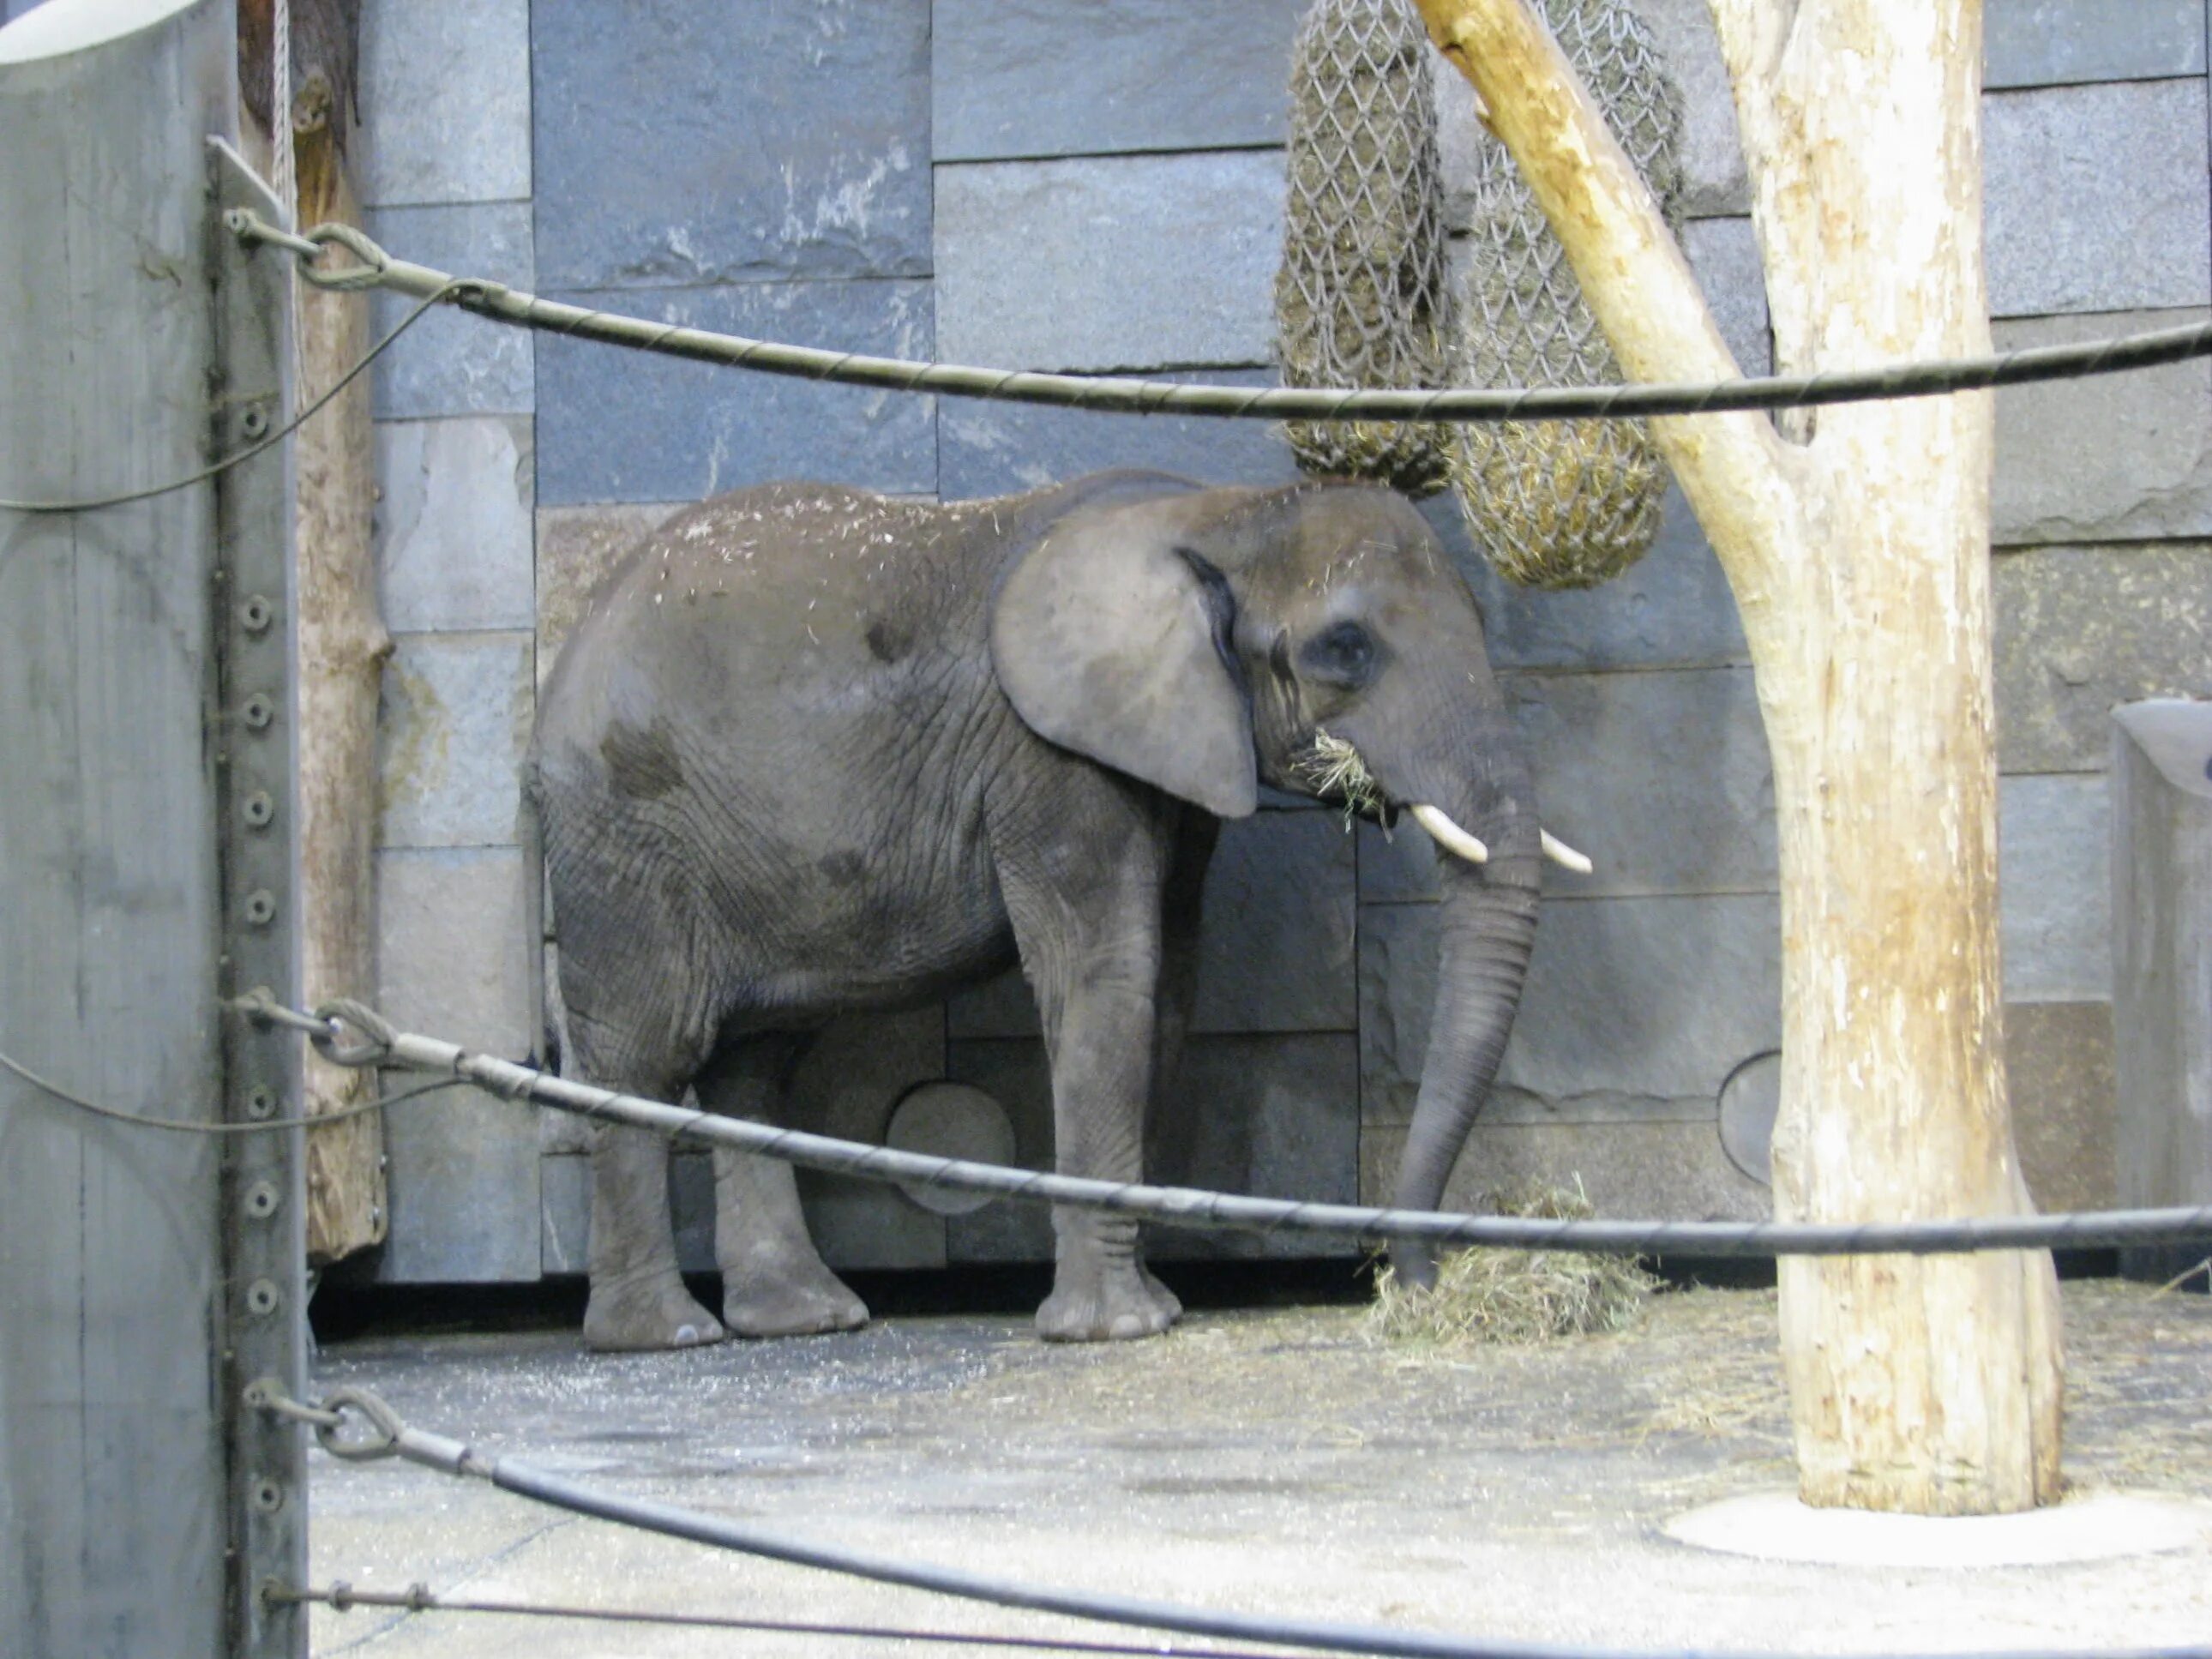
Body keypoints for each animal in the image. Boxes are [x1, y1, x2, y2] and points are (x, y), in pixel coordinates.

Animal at [526, 468, 1584, 1353]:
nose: (1420, 1282)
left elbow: (1168, 988)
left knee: (755, 1060)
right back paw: (661, 1337)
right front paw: (1117, 1330)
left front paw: (1152, 1306)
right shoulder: (1049, 757)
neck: (1217, 515)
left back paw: (804, 1318)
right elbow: (1107, 976)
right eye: (1347, 649)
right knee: (644, 1051)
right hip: (622, 830)